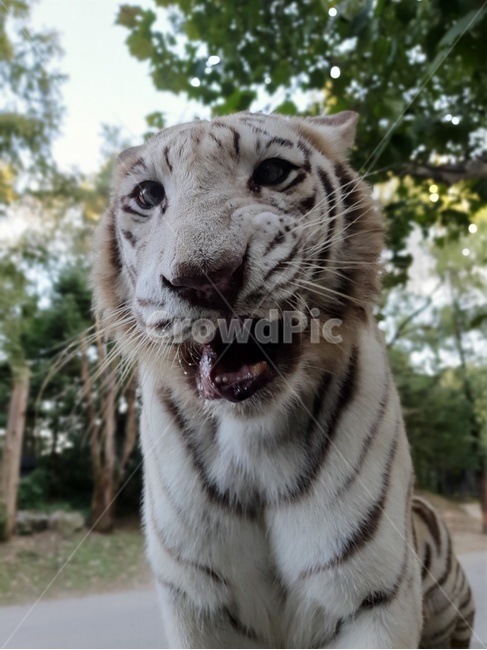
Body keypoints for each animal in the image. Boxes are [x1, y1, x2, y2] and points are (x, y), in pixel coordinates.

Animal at [92, 111, 475, 648]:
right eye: (148, 195)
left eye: (273, 172)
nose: (205, 277)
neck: (251, 442)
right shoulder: (196, 603)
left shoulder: (374, 596)